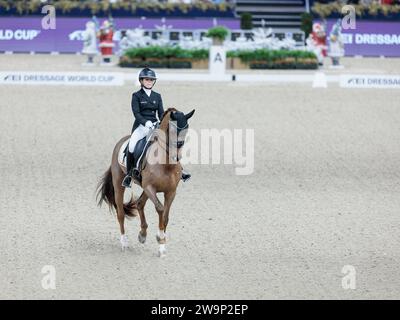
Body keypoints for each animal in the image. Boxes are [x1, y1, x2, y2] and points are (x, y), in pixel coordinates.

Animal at [96, 108, 195, 258]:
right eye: (172, 129)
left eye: (186, 128)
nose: (177, 156)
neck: (166, 163)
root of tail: (122, 141)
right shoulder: (150, 187)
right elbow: (160, 208)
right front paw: (160, 237)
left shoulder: (171, 192)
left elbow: (165, 216)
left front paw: (161, 246)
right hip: (119, 184)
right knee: (121, 213)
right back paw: (124, 243)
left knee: (139, 203)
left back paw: (142, 235)